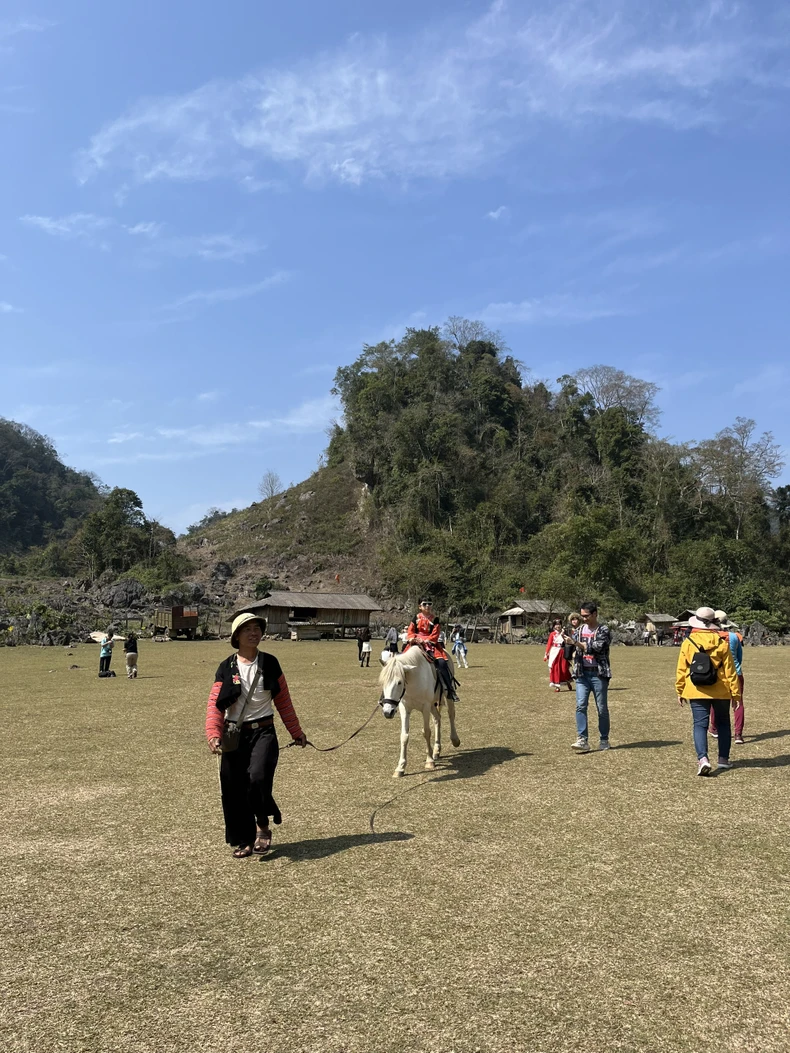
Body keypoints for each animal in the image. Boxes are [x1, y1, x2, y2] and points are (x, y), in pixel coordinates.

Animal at [379, 644, 461, 779]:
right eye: (383, 682)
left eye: (399, 682)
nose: (387, 712)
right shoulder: (404, 708)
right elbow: (404, 736)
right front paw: (400, 767)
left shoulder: (425, 707)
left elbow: (426, 732)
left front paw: (429, 761)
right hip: (433, 704)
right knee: (437, 719)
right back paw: (436, 750)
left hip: (446, 696)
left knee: (451, 714)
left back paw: (455, 740)